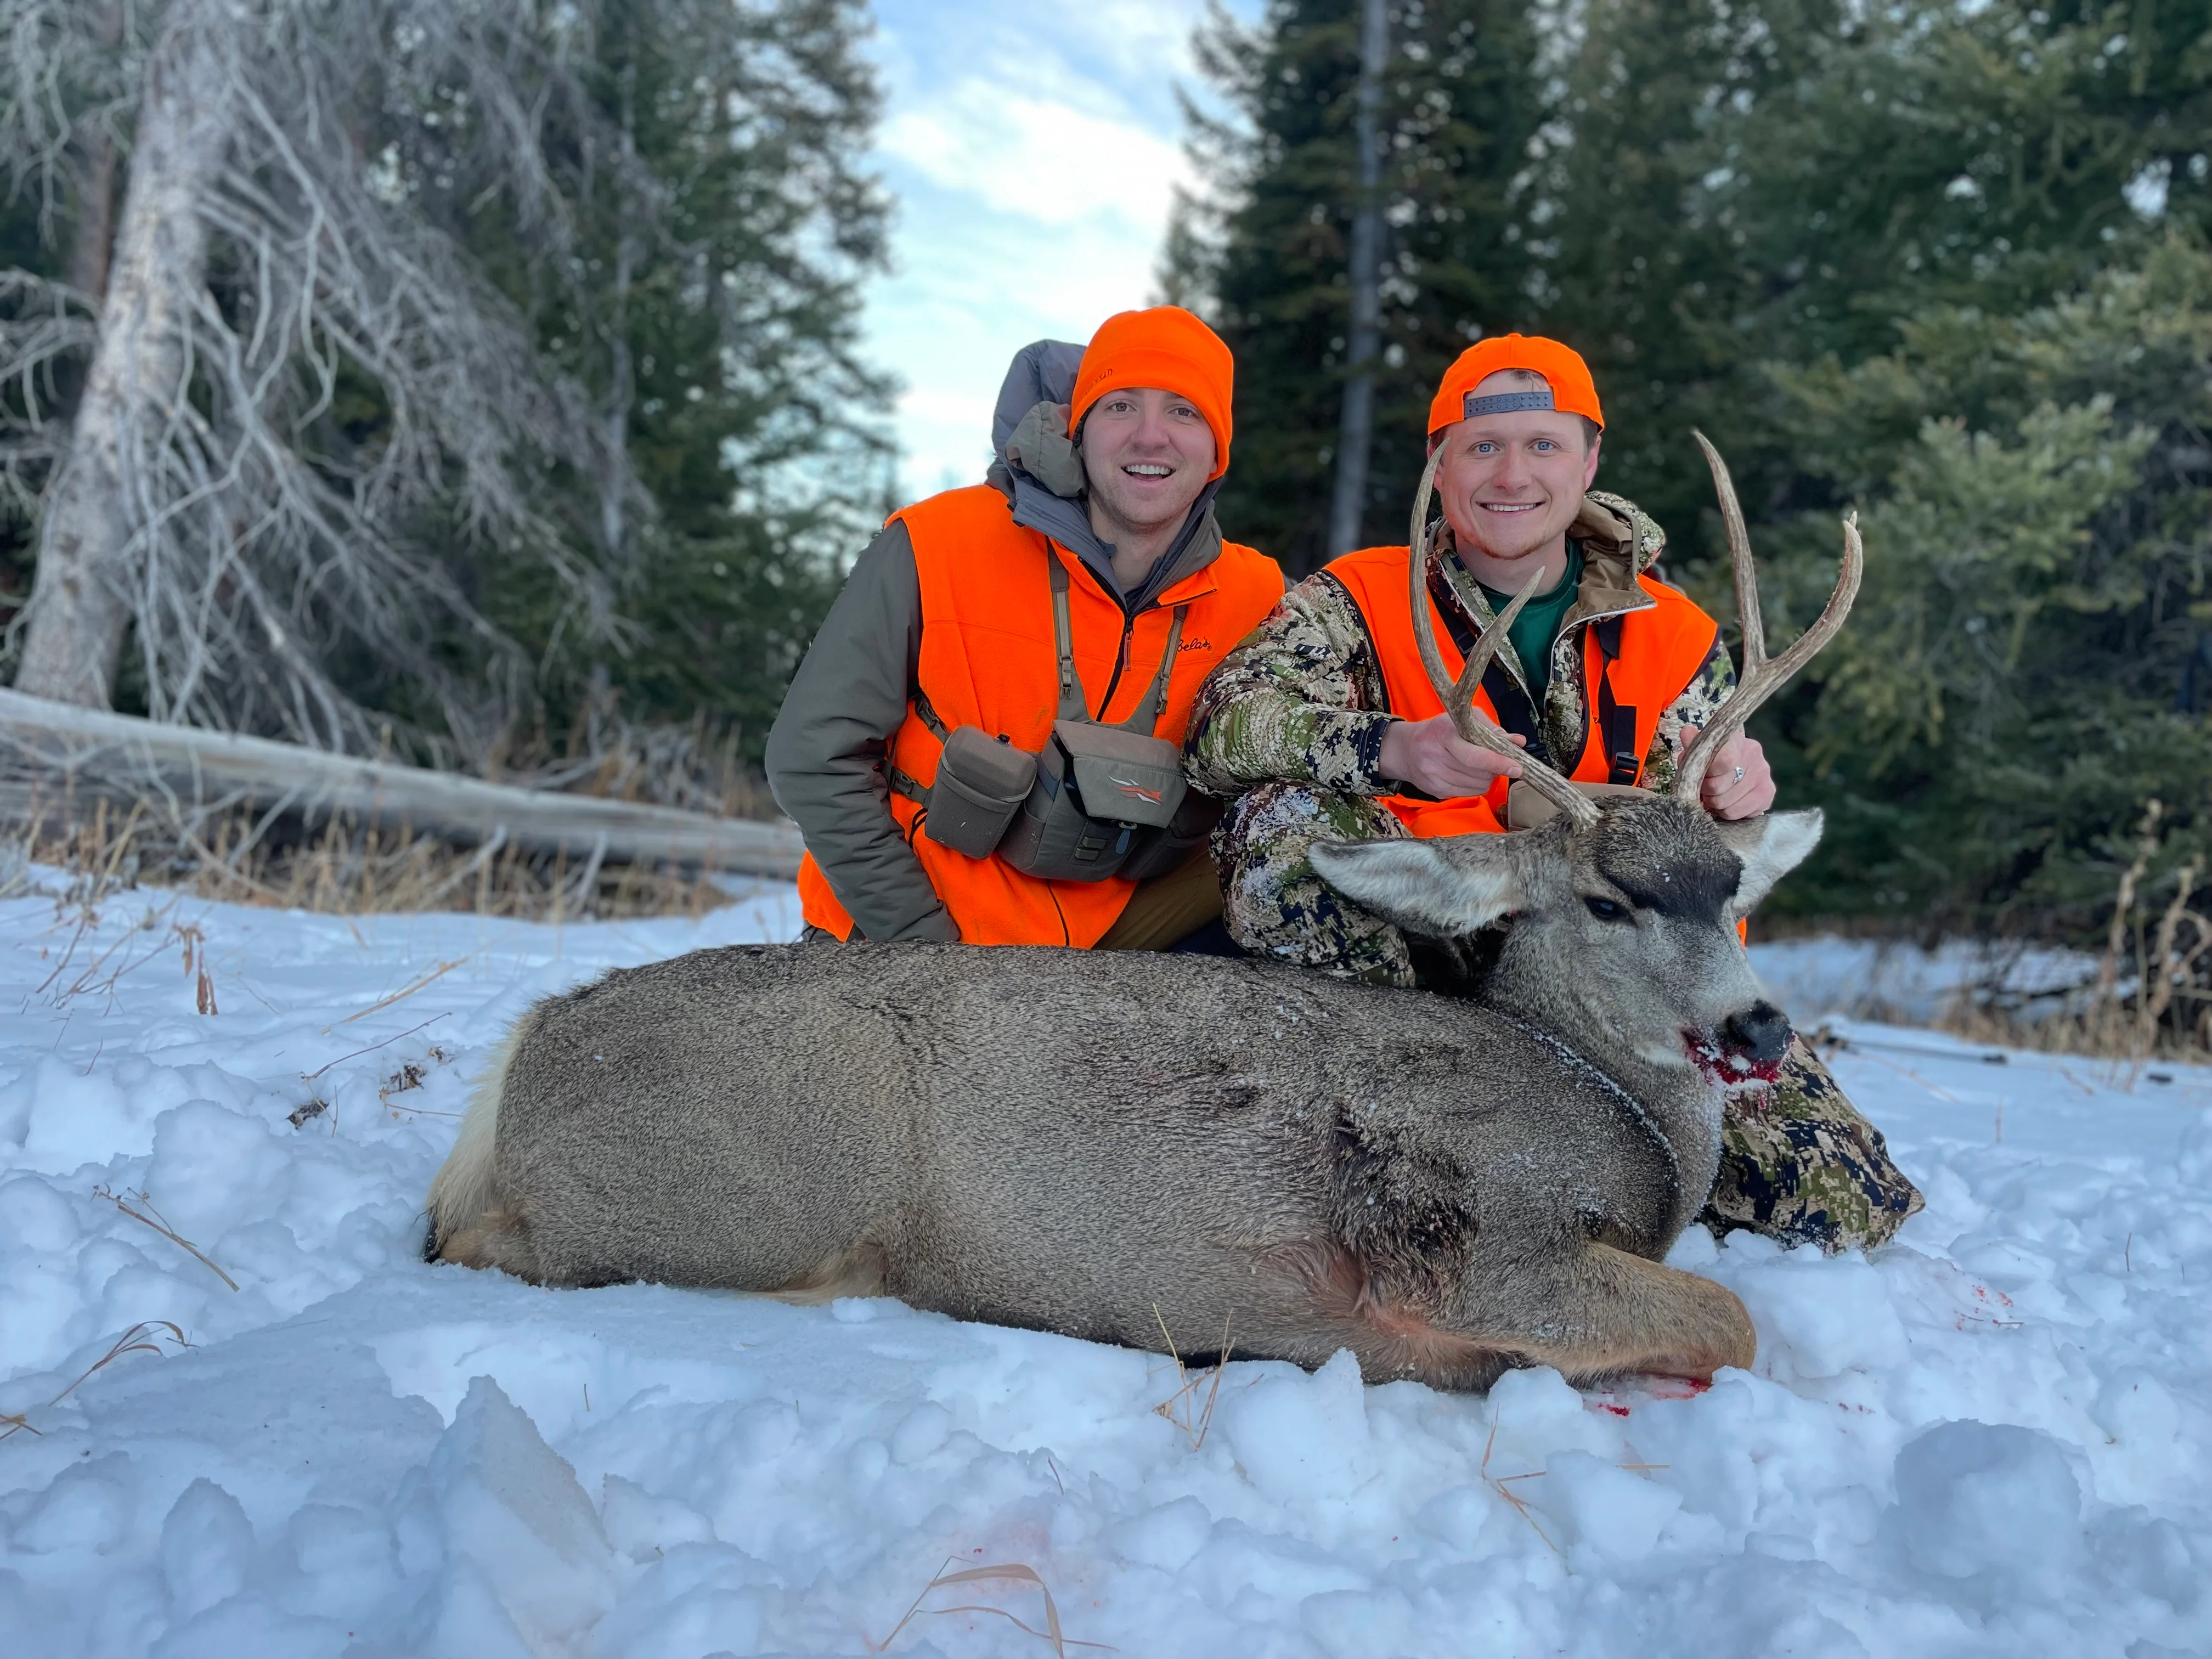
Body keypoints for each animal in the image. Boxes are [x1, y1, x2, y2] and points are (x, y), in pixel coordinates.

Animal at [422, 438, 1858, 1389]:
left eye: (1730, 887)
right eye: (1611, 899)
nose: (1760, 1027)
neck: (1614, 1110)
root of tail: (527, 1049)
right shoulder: (1468, 1240)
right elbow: (1730, 1324)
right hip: (737, 1197)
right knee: (477, 1243)